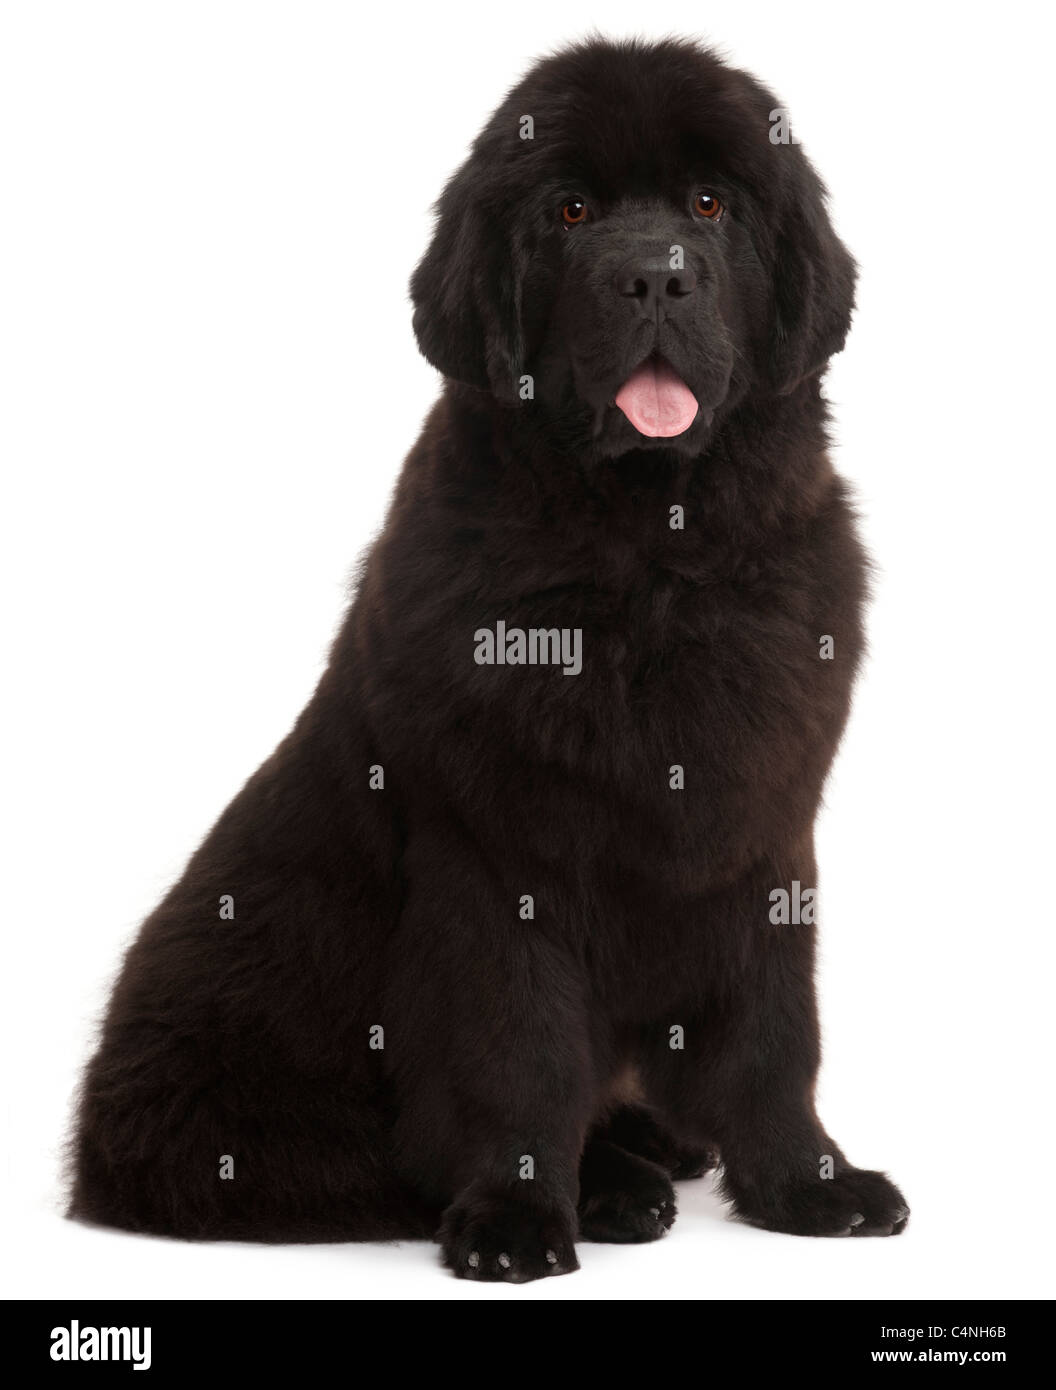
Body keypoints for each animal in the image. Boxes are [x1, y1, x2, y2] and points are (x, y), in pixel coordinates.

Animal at [70, 35, 905, 1278]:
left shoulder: (762, 831)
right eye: (570, 210)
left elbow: (774, 1032)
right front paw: (516, 1219)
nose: (655, 277)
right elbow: (519, 1050)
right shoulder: (496, 855)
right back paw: (613, 1186)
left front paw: (811, 1185)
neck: (650, 559)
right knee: (361, 1158)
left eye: (711, 203)